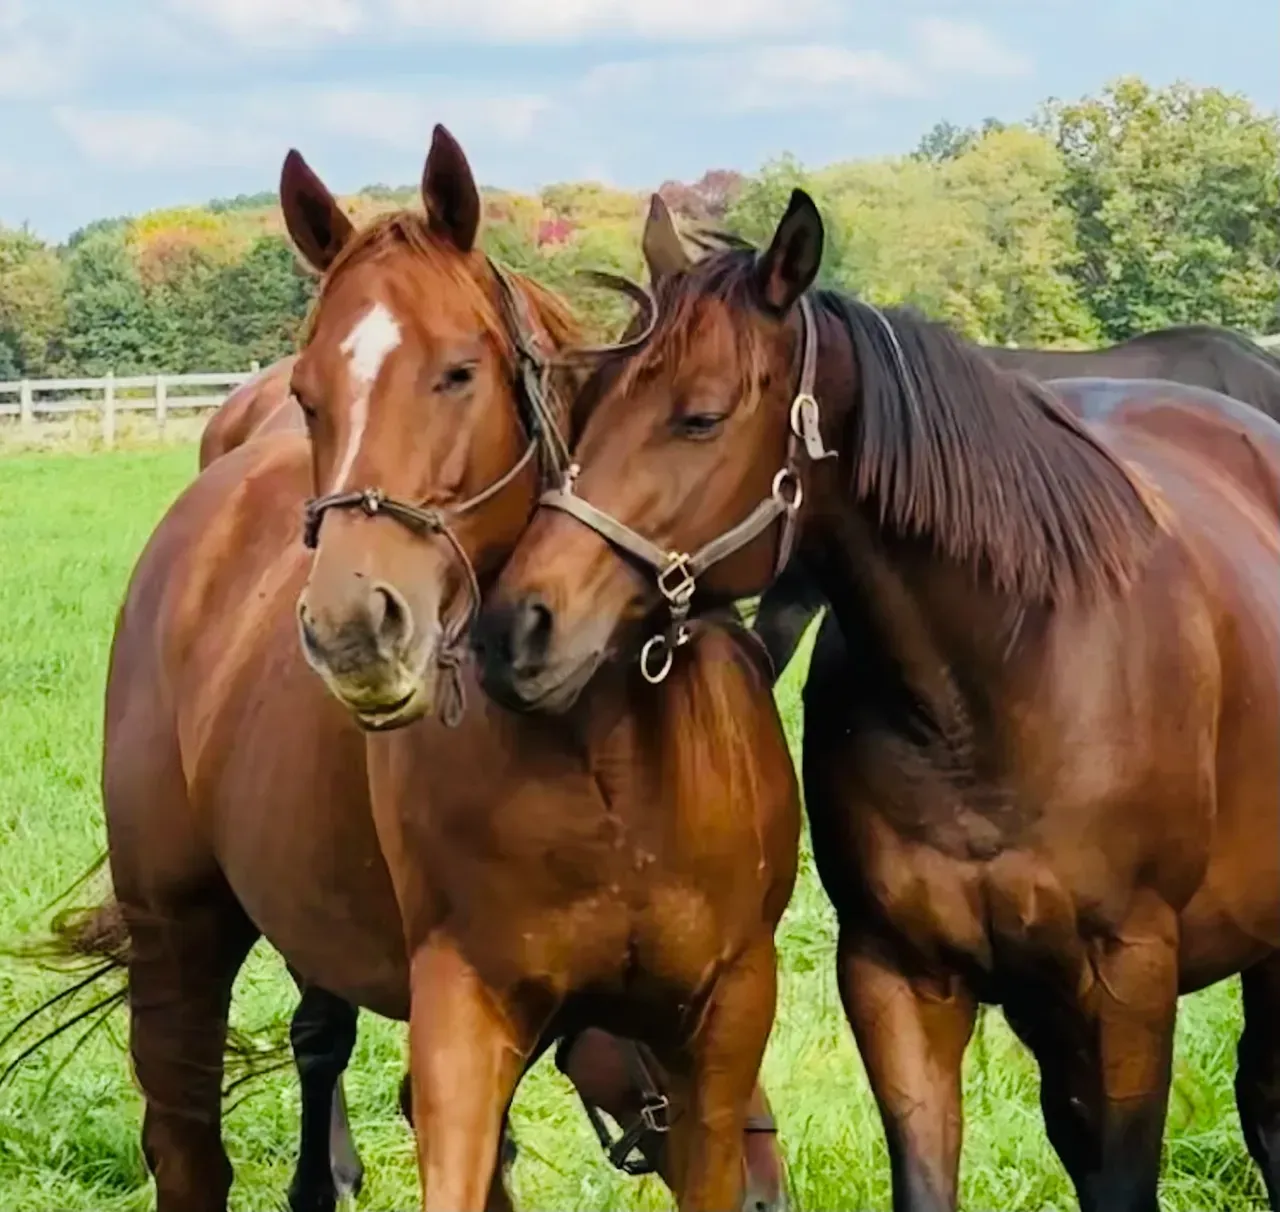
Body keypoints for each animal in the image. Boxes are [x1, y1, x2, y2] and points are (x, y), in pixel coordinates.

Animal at [51, 126, 795, 1212]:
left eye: (458, 372)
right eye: (312, 395)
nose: (353, 625)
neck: (606, 755)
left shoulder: (716, 1019)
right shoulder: (463, 1017)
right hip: (176, 937)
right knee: (189, 1150)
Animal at [473, 187, 1280, 1212]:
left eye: (700, 419)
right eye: (585, 409)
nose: (516, 628)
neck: (994, 687)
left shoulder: (1127, 983)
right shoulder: (897, 978)